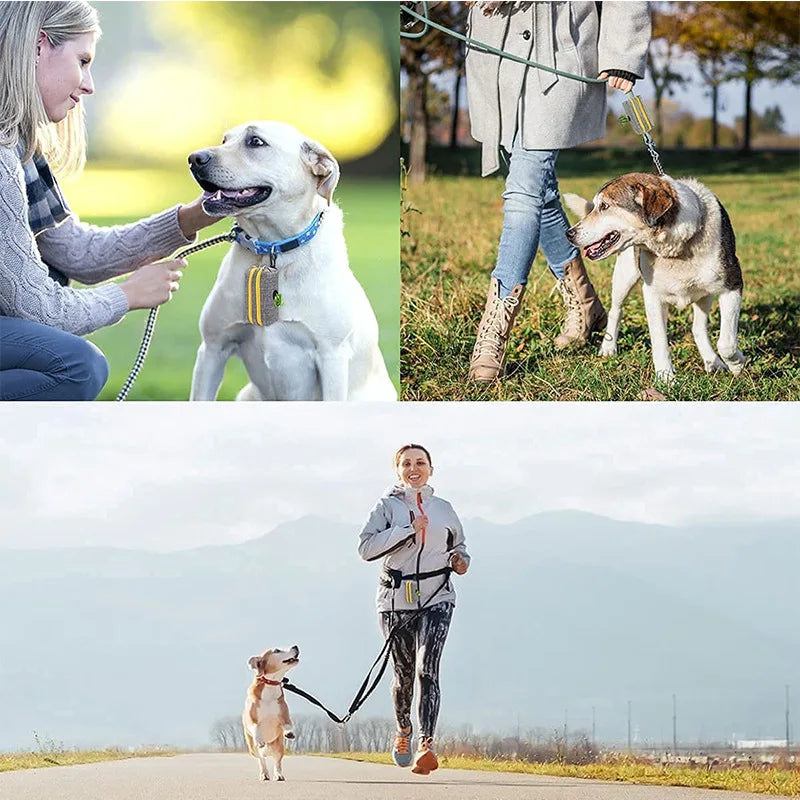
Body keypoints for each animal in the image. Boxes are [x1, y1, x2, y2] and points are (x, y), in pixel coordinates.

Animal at [188, 120, 400, 400]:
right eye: (224, 140)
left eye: (255, 141)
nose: (194, 158)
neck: (272, 248)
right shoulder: (213, 348)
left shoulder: (332, 356)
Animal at [244, 644, 300, 780]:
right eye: (277, 651)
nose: (295, 646)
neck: (270, 684)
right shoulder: (251, 719)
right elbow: (255, 727)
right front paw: (259, 739)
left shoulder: (284, 715)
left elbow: (288, 724)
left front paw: (289, 732)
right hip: (252, 749)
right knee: (261, 759)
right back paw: (264, 774)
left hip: (279, 746)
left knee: (277, 761)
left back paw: (278, 775)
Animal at [564, 174, 748, 384]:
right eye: (595, 206)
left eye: (604, 206)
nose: (569, 234)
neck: (677, 248)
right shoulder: (652, 295)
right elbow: (659, 341)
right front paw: (666, 378)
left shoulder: (732, 285)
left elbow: (726, 343)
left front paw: (737, 364)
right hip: (624, 277)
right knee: (615, 311)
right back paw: (608, 348)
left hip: (705, 293)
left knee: (698, 327)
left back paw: (712, 361)